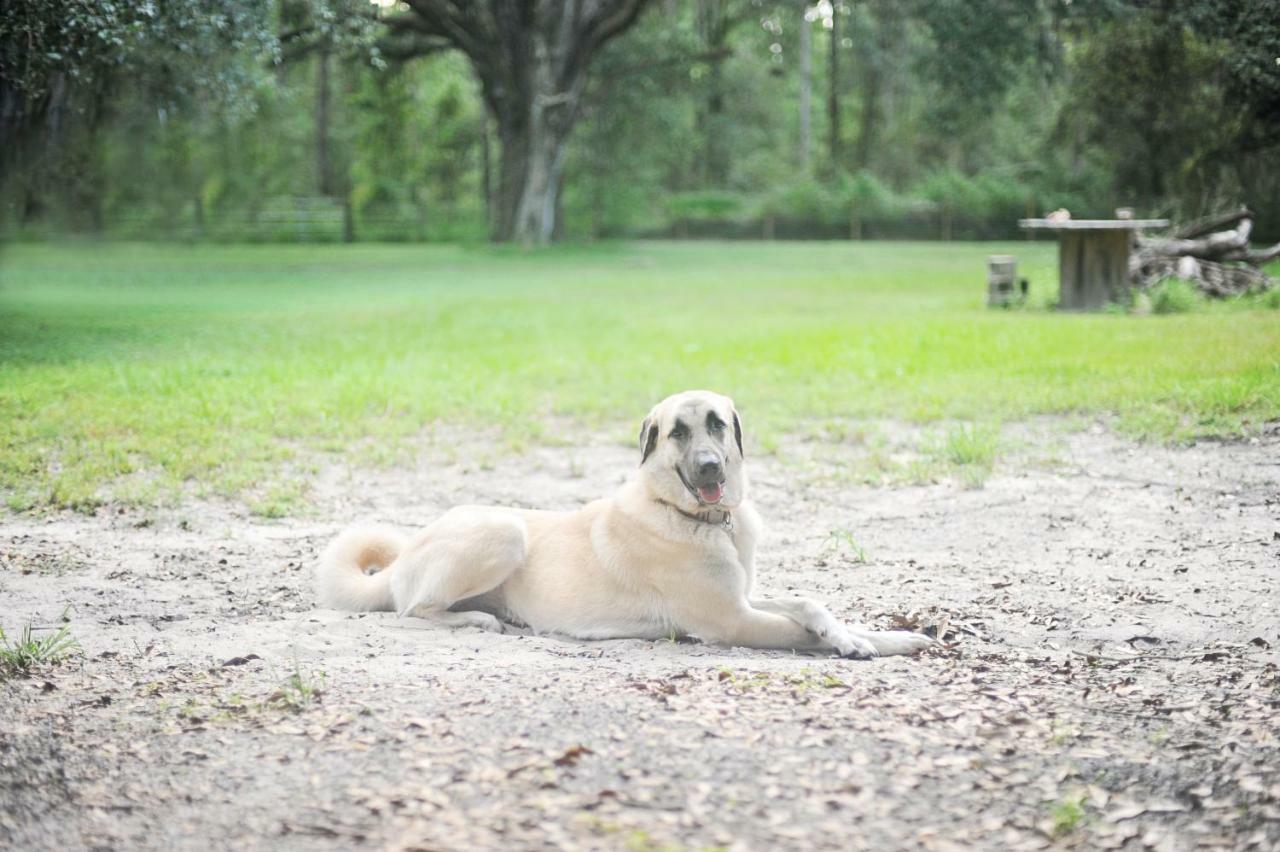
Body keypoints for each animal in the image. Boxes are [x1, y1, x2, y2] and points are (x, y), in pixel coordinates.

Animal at [317, 388, 942, 654]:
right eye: (676, 433)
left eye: (717, 424)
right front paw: (857, 645)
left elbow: (812, 604)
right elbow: (800, 630)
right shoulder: (730, 621)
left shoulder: (743, 596)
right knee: (413, 610)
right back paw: (477, 621)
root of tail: (402, 557)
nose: (710, 465)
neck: (701, 519)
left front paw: (886, 635)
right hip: (502, 530)